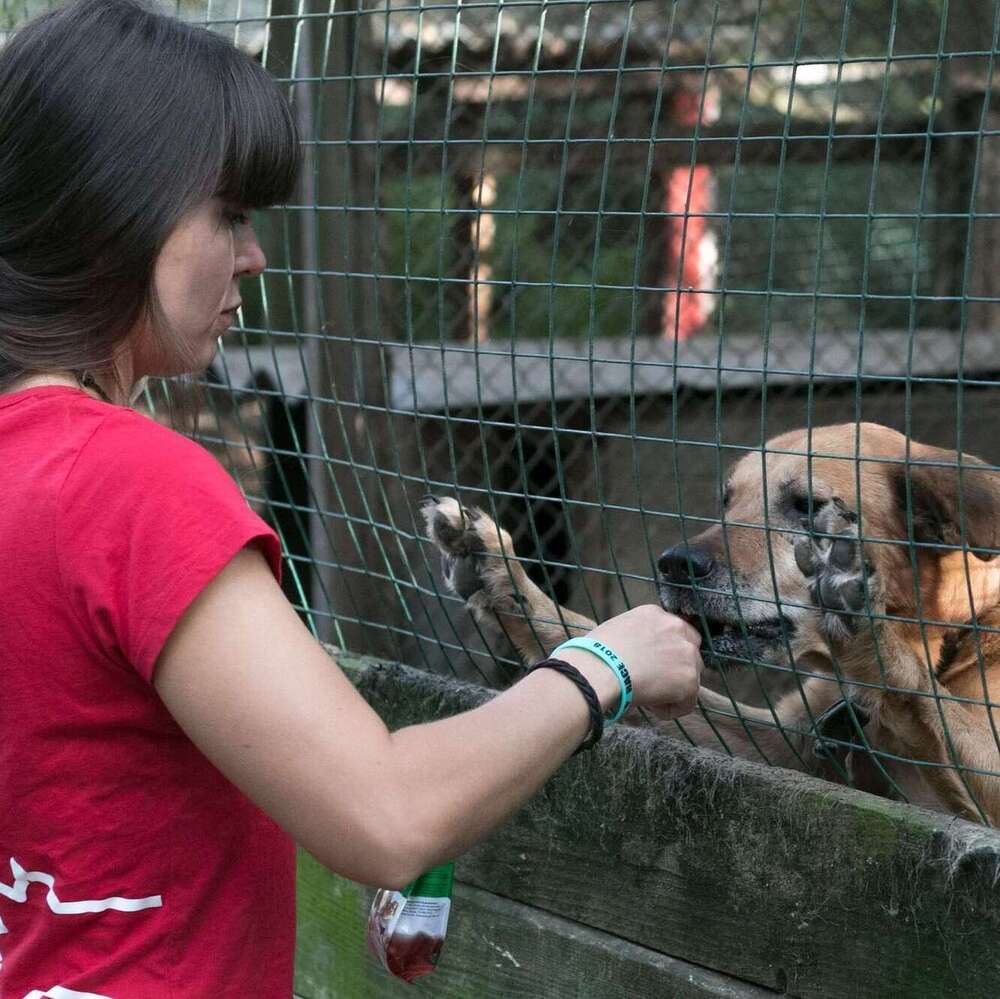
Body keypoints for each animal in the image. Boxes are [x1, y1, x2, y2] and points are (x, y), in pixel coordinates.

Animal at [424, 426, 1000, 824]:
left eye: (807, 506)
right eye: (727, 501)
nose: (675, 565)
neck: (950, 635)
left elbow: (923, 699)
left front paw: (858, 619)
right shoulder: (769, 746)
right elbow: (573, 631)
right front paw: (499, 572)